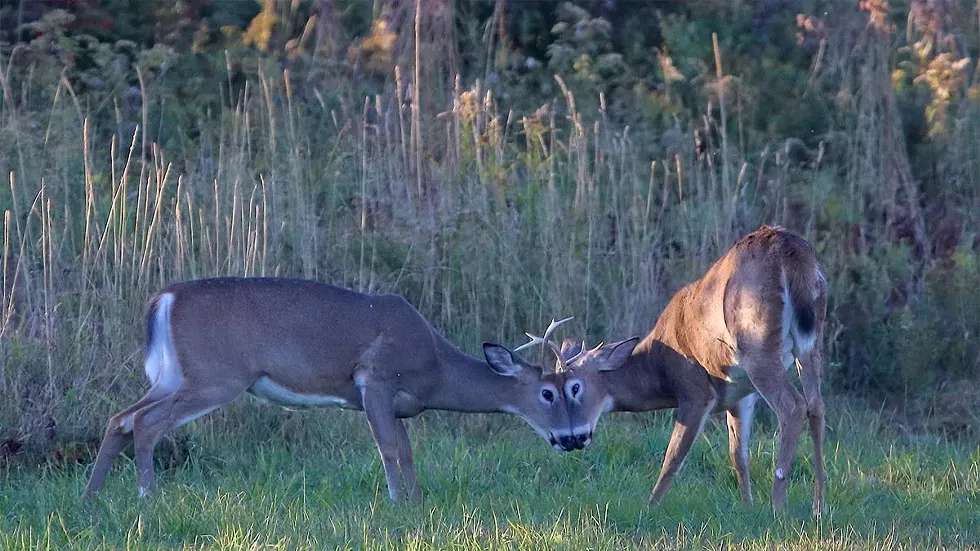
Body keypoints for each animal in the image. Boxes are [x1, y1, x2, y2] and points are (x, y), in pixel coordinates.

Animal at [82, 277, 581, 503]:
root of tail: (164, 298)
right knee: (145, 422)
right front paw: (399, 502)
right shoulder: (375, 379)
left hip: (172, 376)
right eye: (550, 393)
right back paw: (148, 498)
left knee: (119, 418)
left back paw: (91, 498)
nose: (574, 439)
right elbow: (389, 448)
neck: (436, 369)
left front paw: (417, 501)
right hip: (216, 375)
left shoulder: (396, 403)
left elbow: (406, 449)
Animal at [524, 225, 829, 515]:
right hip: (810, 339)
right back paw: (818, 507)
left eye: (573, 387)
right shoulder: (741, 394)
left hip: (756, 343)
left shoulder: (695, 390)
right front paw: (748, 506)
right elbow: (738, 455)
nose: (572, 438)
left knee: (792, 406)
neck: (659, 368)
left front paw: (649, 508)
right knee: (816, 406)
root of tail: (790, 251)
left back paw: (778, 506)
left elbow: (673, 456)